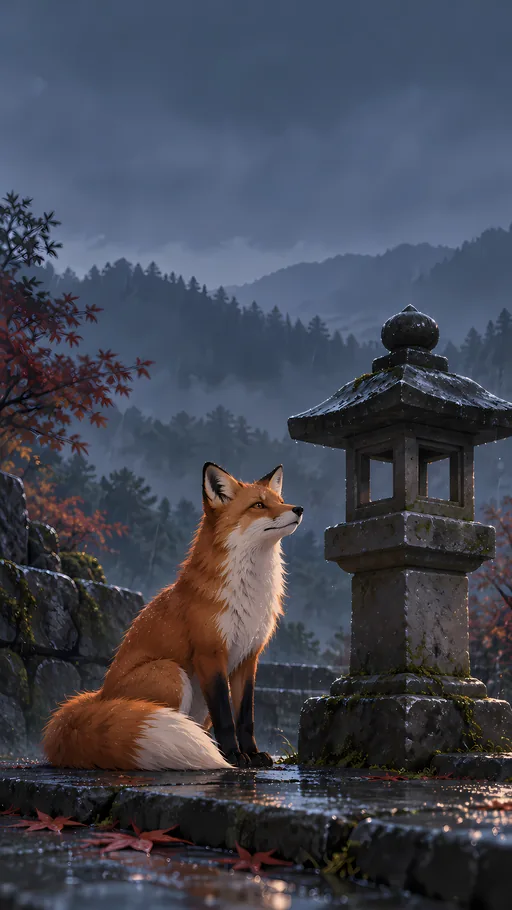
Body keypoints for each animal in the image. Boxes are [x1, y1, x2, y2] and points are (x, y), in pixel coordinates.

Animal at [43, 462, 303, 771]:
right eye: (259, 505)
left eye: (280, 500)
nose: (298, 508)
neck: (248, 592)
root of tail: (100, 697)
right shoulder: (210, 653)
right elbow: (226, 719)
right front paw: (233, 756)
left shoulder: (248, 657)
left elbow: (245, 718)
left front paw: (252, 754)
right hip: (171, 674)